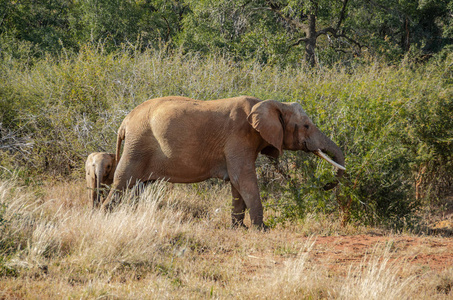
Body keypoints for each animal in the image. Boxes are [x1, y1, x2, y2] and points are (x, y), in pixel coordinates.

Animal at [100, 96, 344, 227]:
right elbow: (243, 177)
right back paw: (104, 216)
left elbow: (237, 183)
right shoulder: (239, 136)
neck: (268, 103)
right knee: (123, 182)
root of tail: (124, 121)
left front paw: (239, 228)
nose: (325, 186)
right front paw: (262, 229)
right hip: (137, 145)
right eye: (306, 126)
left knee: (138, 187)